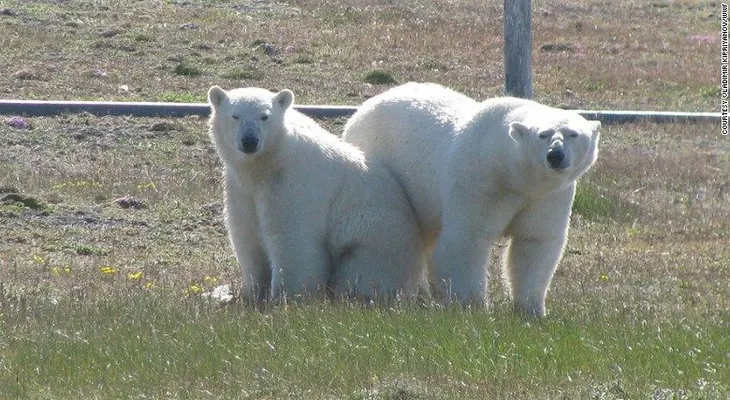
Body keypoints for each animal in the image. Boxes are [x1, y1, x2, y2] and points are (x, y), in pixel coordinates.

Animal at [207, 85, 426, 305]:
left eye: (264, 116)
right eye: (235, 116)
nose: (250, 141)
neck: (268, 163)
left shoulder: (292, 184)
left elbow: (291, 238)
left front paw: (285, 297)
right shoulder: (241, 189)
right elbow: (246, 235)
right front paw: (251, 295)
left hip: (376, 234)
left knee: (362, 270)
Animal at [342, 82, 600, 317]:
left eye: (573, 134)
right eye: (543, 135)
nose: (555, 155)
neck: (511, 173)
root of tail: (363, 107)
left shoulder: (548, 196)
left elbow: (535, 242)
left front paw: (531, 309)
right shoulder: (479, 180)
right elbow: (467, 238)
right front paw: (472, 305)